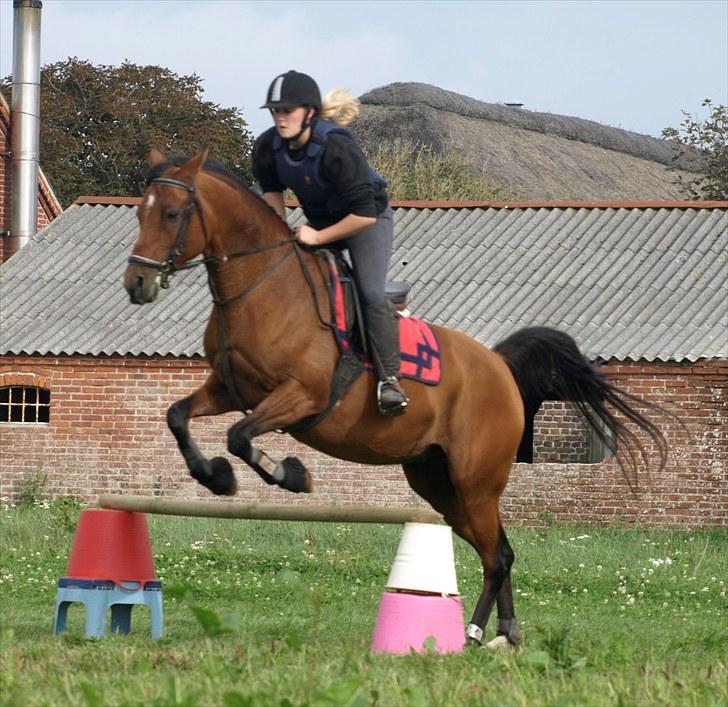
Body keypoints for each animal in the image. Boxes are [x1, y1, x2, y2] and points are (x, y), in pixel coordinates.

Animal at [123, 152, 664, 648]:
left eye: (171, 213)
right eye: (140, 214)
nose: (137, 283)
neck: (264, 288)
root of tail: (498, 366)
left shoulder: (300, 396)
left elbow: (239, 436)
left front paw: (288, 475)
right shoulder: (227, 389)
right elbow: (178, 416)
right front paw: (214, 476)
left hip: (476, 482)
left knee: (497, 555)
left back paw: (474, 631)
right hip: (439, 484)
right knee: (499, 550)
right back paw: (505, 634)